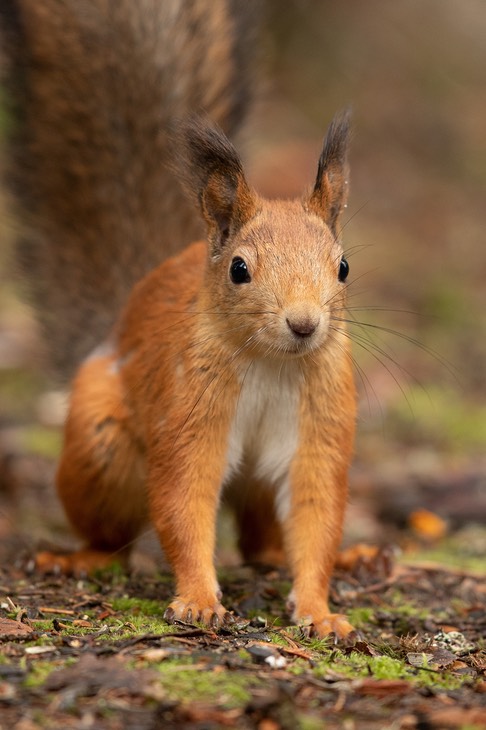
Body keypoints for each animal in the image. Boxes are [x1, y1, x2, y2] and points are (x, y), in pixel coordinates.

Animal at [0, 1, 356, 636]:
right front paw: (197, 599)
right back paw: (79, 558)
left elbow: (316, 515)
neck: (271, 363)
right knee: (112, 531)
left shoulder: (321, 423)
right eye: (239, 269)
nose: (304, 324)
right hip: (102, 449)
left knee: (260, 537)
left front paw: (319, 611)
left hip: (256, 482)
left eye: (343, 267)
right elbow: (182, 499)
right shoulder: (187, 405)